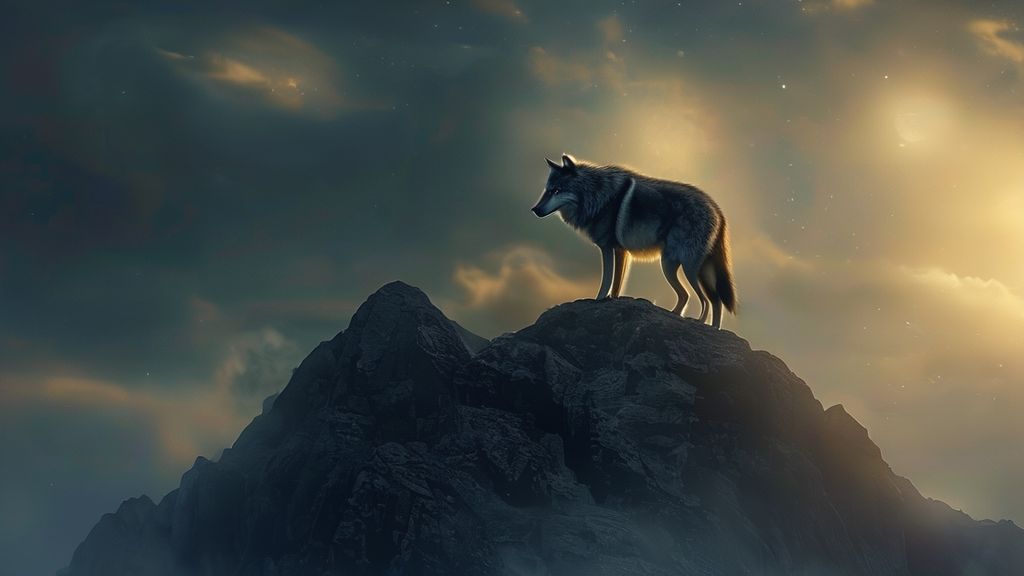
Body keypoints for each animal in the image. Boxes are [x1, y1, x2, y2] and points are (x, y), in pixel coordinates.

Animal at [531, 154, 737, 328]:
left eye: (557, 190)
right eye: (547, 190)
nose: (535, 209)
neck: (597, 195)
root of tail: (718, 211)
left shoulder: (608, 248)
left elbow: (607, 281)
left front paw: (598, 301)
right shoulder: (621, 251)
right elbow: (617, 285)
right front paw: (612, 301)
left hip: (684, 268)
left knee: (706, 300)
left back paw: (701, 323)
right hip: (680, 268)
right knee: (703, 299)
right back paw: (702, 324)